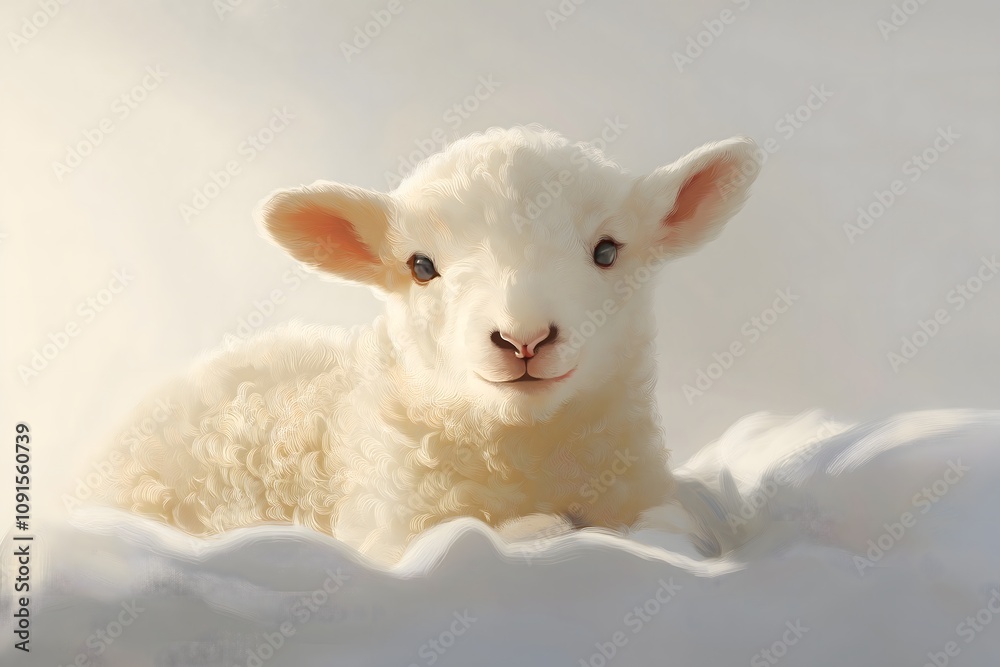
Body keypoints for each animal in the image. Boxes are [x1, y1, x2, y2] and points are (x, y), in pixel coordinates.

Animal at [92, 125, 762, 563]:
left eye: (606, 251)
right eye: (420, 266)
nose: (523, 338)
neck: (528, 452)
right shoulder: (390, 532)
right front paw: (548, 530)